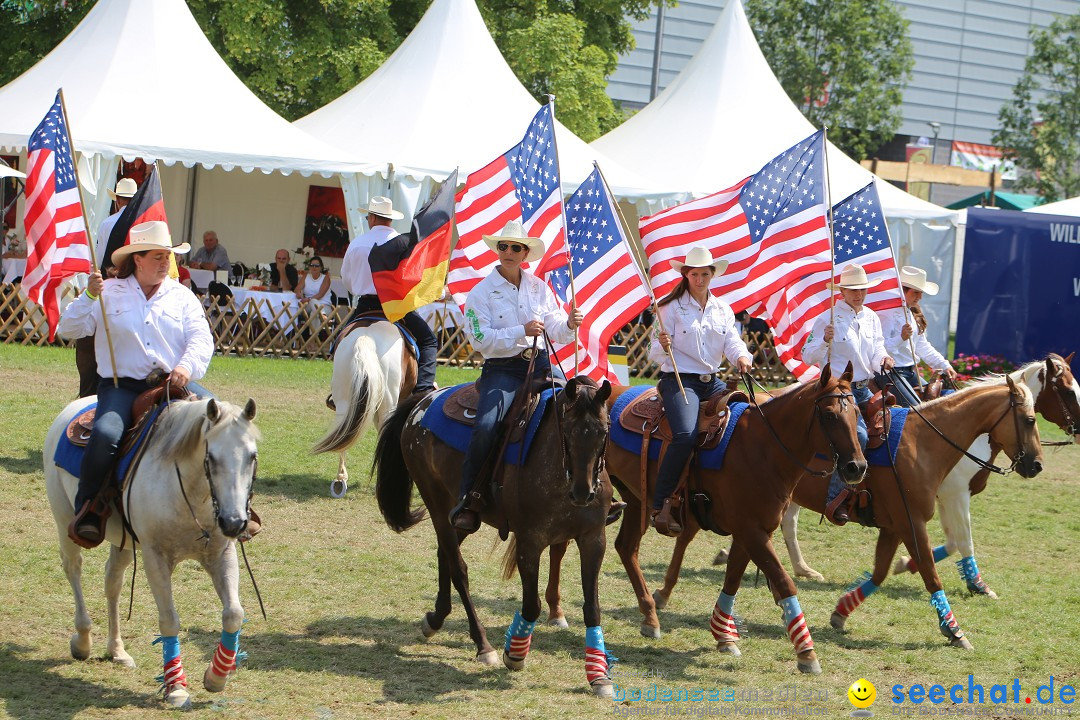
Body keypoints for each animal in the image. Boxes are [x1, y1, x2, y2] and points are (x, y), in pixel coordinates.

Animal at [44, 397, 261, 708]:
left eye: (251, 456)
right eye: (211, 457)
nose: (234, 522)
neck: (190, 494)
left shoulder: (221, 554)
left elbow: (233, 613)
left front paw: (216, 676)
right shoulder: (155, 557)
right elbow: (169, 620)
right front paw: (176, 687)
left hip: (123, 542)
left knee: (113, 582)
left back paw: (117, 650)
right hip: (65, 523)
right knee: (73, 568)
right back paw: (83, 640)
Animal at [375, 377, 622, 699]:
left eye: (603, 431)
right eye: (566, 430)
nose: (583, 491)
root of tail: (424, 401)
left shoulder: (593, 540)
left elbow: (592, 608)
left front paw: (599, 676)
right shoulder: (530, 541)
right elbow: (531, 605)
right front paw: (514, 653)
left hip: (461, 517)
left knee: (445, 555)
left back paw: (436, 618)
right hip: (437, 504)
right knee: (458, 568)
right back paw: (483, 645)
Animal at [548, 367, 859, 677]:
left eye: (856, 412)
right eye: (829, 414)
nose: (857, 466)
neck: (761, 448)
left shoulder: (751, 532)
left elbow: (733, 579)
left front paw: (723, 636)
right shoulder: (752, 532)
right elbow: (784, 583)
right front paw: (807, 653)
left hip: (634, 499)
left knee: (626, 548)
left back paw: (650, 617)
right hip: (580, 491)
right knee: (560, 546)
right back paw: (556, 612)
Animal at [777, 354, 1080, 591]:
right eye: (1067, 391)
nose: (1036, 465)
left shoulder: (942, 498)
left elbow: (953, 540)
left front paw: (905, 564)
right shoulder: (955, 494)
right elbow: (963, 539)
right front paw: (978, 585)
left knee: (788, 522)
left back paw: (803, 569)